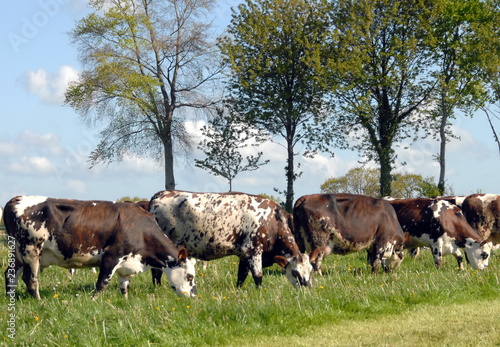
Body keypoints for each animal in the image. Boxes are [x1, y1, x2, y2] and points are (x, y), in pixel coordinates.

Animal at [5, 197, 198, 300]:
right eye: (189, 276)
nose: (194, 296)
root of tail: (16, 200)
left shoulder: (127, 264)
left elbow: (124, 286)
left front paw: (125, 301)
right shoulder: (112, 256)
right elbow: (102, 284)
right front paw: (94, 301)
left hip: (19, 254)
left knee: (10, 274)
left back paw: (9, 297)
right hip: (31, 250)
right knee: (31, 279)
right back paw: (38, 301)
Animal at [148, 192, 312, 290]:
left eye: (310, 270)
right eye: (296, 272)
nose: (308, 287)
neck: (272, 221)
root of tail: (161, 194)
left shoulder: (244, 255)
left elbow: (241, 276)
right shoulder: (253, 251)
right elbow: (258, 276)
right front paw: (260, 293)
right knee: (156, 271)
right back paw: (158, 288)